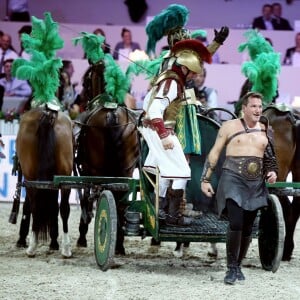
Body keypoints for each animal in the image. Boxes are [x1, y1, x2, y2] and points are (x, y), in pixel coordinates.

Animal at [15, 108, 74, 258]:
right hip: (65, 177)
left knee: (35, 208)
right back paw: (66, 248)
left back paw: (33, 246)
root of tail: (47, 115)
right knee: (64, 208)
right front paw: (54, 242)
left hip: (31, 178)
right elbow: (53, 207)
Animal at [75, 61, 141, 253]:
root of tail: (112, 114)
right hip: (126, 170)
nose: (80, 99)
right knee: (121, 202)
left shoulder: (87, 171)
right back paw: (119, 244)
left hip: (97, 170)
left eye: (85, 82)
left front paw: (82, 235)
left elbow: (86, 200)